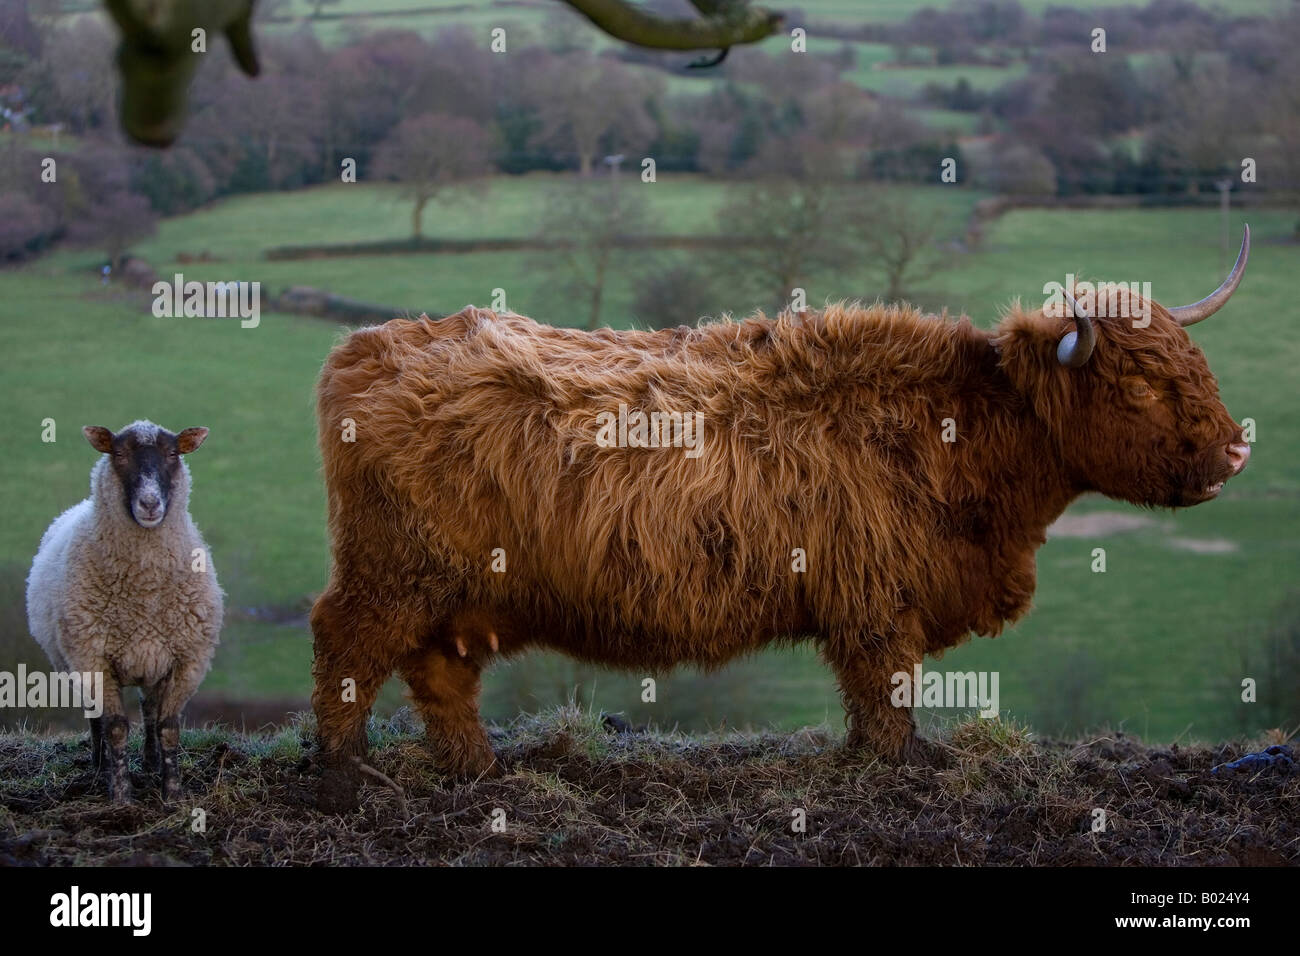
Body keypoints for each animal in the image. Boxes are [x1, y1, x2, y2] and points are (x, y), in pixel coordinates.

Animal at [26, 420, 222, 802]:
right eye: (118, 453)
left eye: (173, 453)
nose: (149, 503)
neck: (143, 590)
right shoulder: (93, 660)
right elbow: (115, 727)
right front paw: (121, 796)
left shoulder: (185, 660)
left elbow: (168, 727)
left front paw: (172, 794)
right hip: (71, 663)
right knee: (96, 718)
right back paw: (99, 766)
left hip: (151, 664)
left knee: (149, 711)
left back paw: (150, 763)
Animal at [309, 228, 1251, 810]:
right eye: (1142, 386)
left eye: (1195, 363)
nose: (1237, 451)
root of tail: (370, 346)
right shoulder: (876, 599)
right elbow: (886, 688)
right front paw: (896, 769)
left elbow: (878, 695)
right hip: (394, 570)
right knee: (345, 643)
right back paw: (344, 775)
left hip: (450, 588)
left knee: (440, 672)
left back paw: (478, 771)